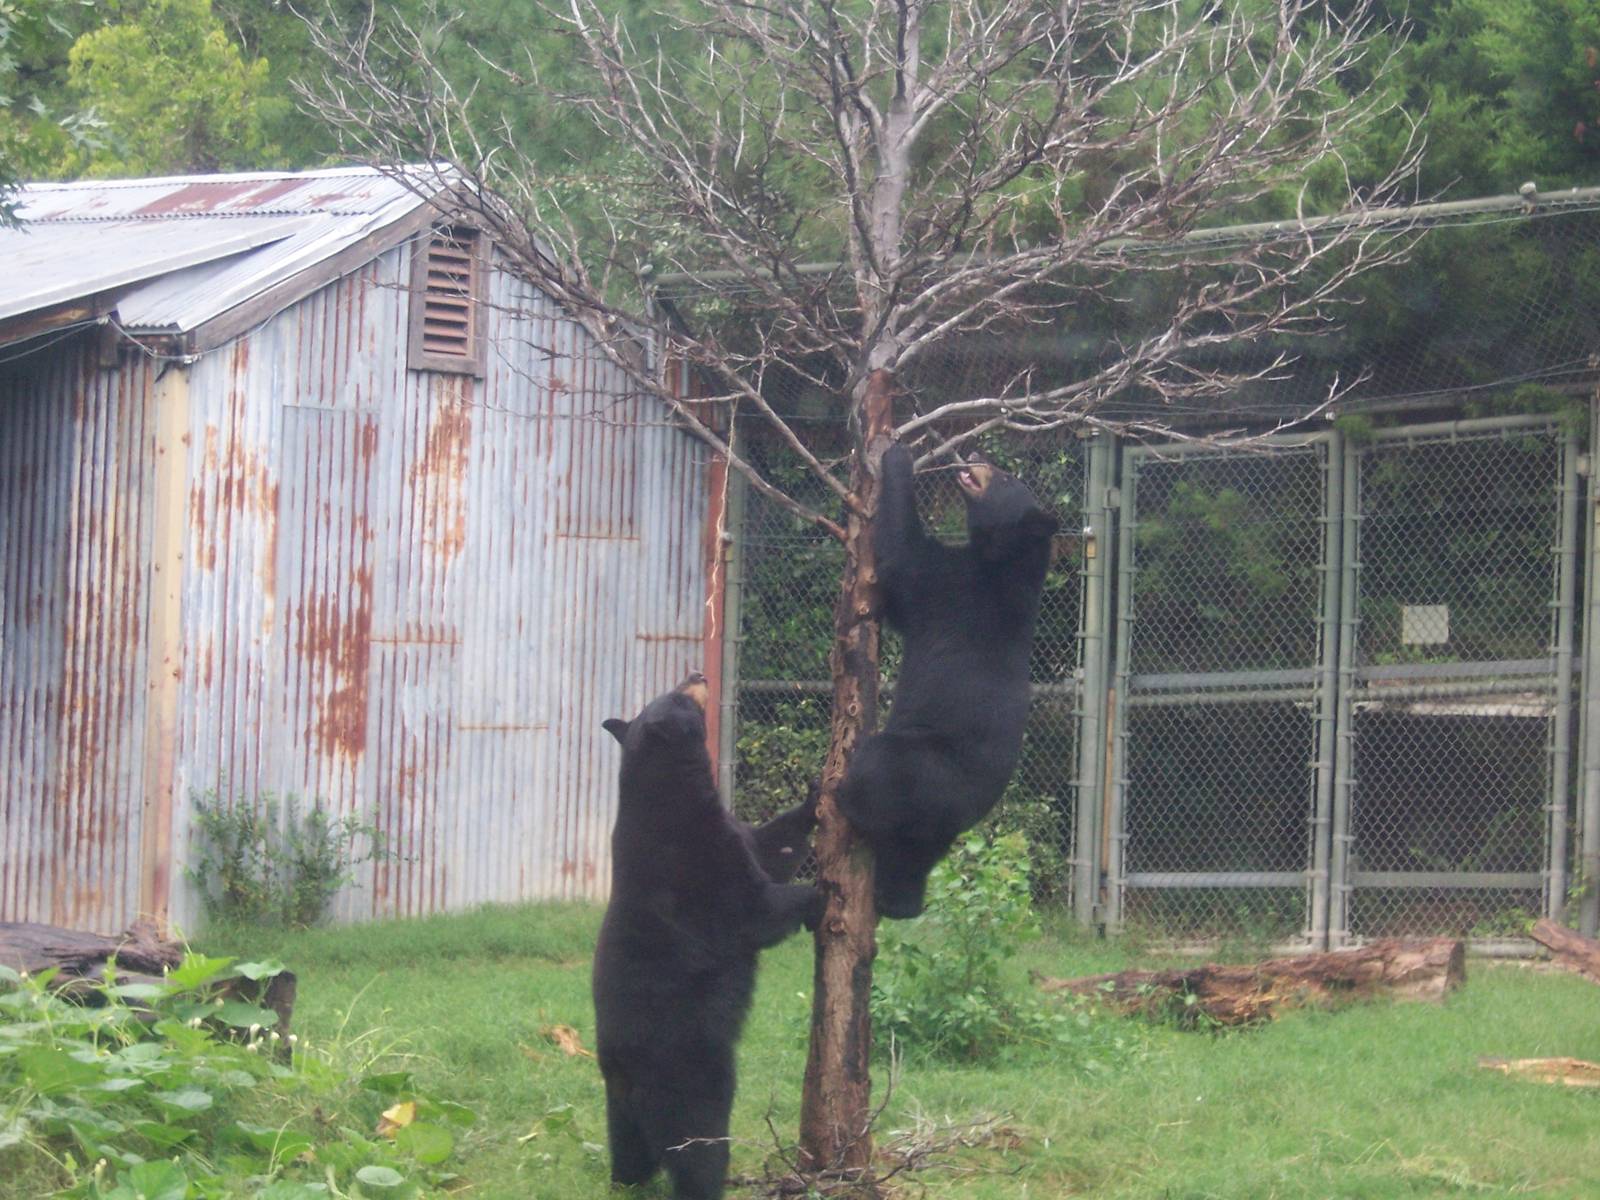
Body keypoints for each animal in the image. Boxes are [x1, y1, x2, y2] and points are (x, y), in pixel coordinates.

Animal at [593, 672, 822, 1200]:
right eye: (679, 695)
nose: (698, 675)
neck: (671, 798)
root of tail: (629, 1081)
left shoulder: (731, 833)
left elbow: (772, 845)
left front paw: (815, 794)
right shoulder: (694, 867)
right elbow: (753, 912)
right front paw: (819, 894)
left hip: (620, 1110)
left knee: (627, 1150)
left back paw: (625, 1180)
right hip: (691, 1076)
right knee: (699, 1150)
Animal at [837, 441, 1059, 919]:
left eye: (1006, 477)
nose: (973, 455)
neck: (1002, 560)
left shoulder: (953, 586)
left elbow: (903, 557)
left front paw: (896, 453)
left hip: (922, 766)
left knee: (879, 765)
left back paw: (842, 796)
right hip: (928, 831)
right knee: (908, 864)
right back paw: (896, 901)